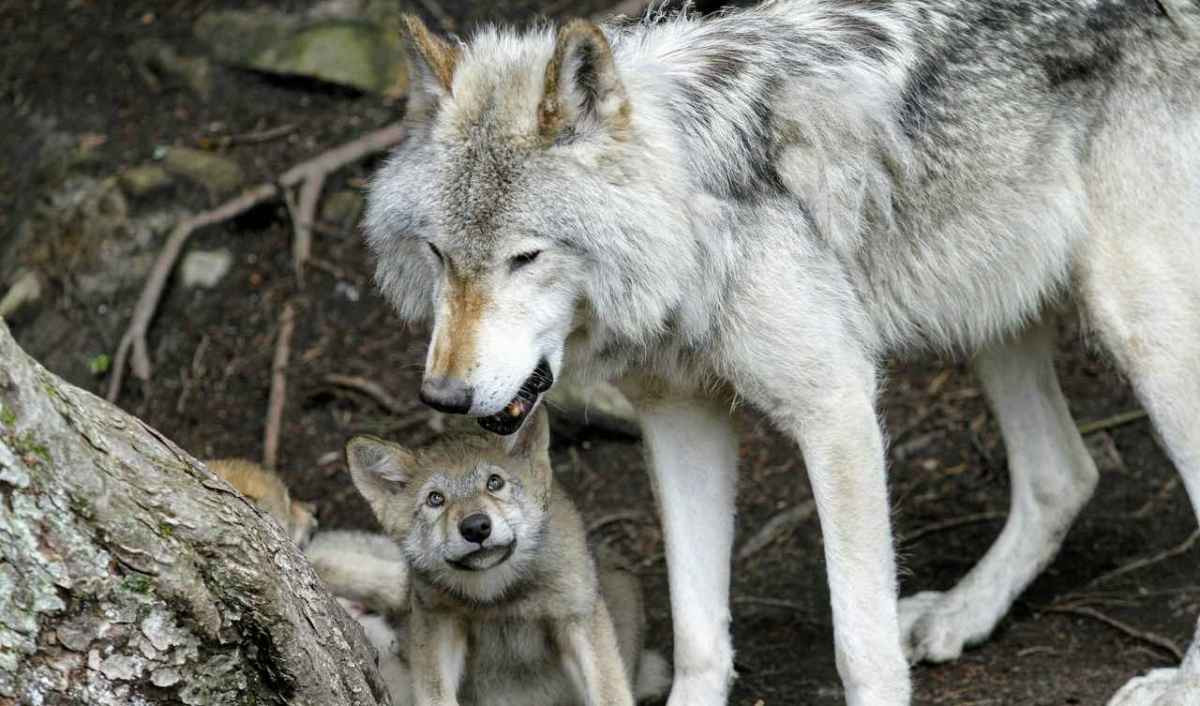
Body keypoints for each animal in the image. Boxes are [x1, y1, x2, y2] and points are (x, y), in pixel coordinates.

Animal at [340, 408, 670, 705]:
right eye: (435, 499)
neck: (498, 597)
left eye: (494, 483)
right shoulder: (437, 624)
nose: (476, 527)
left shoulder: (577, 619)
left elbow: (610, 692)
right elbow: (434, 694)